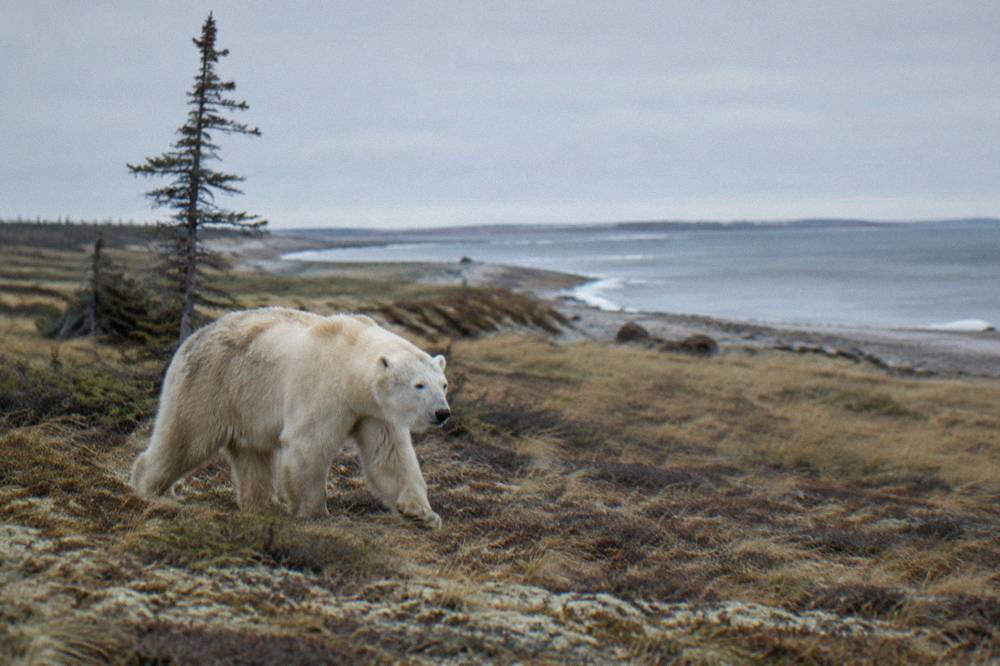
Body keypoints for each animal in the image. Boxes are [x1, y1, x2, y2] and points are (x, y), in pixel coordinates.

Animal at [130, 307, 449, 529]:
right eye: (419, 385)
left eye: (443, 384)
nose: (442, 413)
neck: (349, 359)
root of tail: (191, 339)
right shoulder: (324, 388)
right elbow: (308, 444)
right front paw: (314, 511)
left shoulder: (375, 410)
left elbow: (390, 457)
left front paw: (423, 513)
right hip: (210, 384)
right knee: (186, 438)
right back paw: (152, 489)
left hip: (246, 401)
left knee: (253, 455)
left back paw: (262, 503)